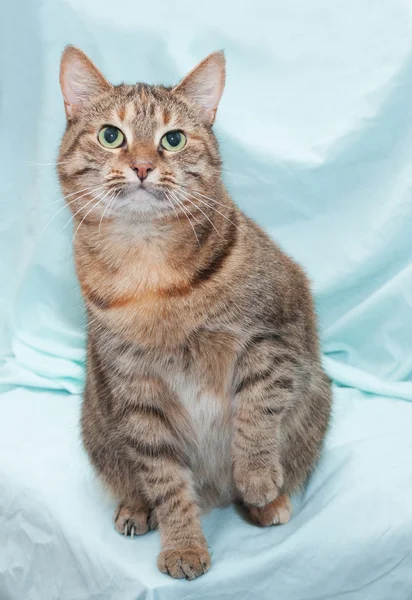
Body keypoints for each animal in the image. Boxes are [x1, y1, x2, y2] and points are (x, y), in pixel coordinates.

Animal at [57, 45, 332, 580]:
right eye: (111, 135)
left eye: (174, 139)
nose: (143, 166)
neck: (149, 264)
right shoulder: (136, 391)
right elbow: (165, 480)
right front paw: (183, 546)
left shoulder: (272, 338)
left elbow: (256, 411)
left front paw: (258, 476)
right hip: (97, 428)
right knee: (136, 482)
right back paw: (135, 509)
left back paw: (267, 503)